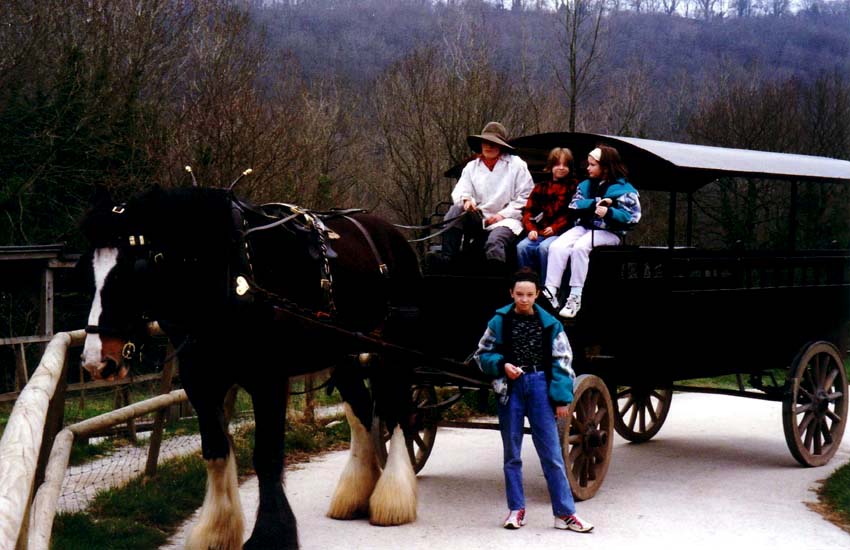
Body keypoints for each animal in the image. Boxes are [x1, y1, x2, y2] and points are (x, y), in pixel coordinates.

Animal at [78, 187, 420, 550]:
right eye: (88, 271)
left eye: (133, 270)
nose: (97, 361)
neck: (229, 275)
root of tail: (392, 234)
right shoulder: (200, 382)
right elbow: (215, 450)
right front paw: (215, 530)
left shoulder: (268, 379)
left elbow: (266, 456)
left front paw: (271, 534)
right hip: (344, 355)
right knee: (363, 413)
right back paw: (356, 495)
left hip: (396, 349)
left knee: (398, 412)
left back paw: (393, 498)